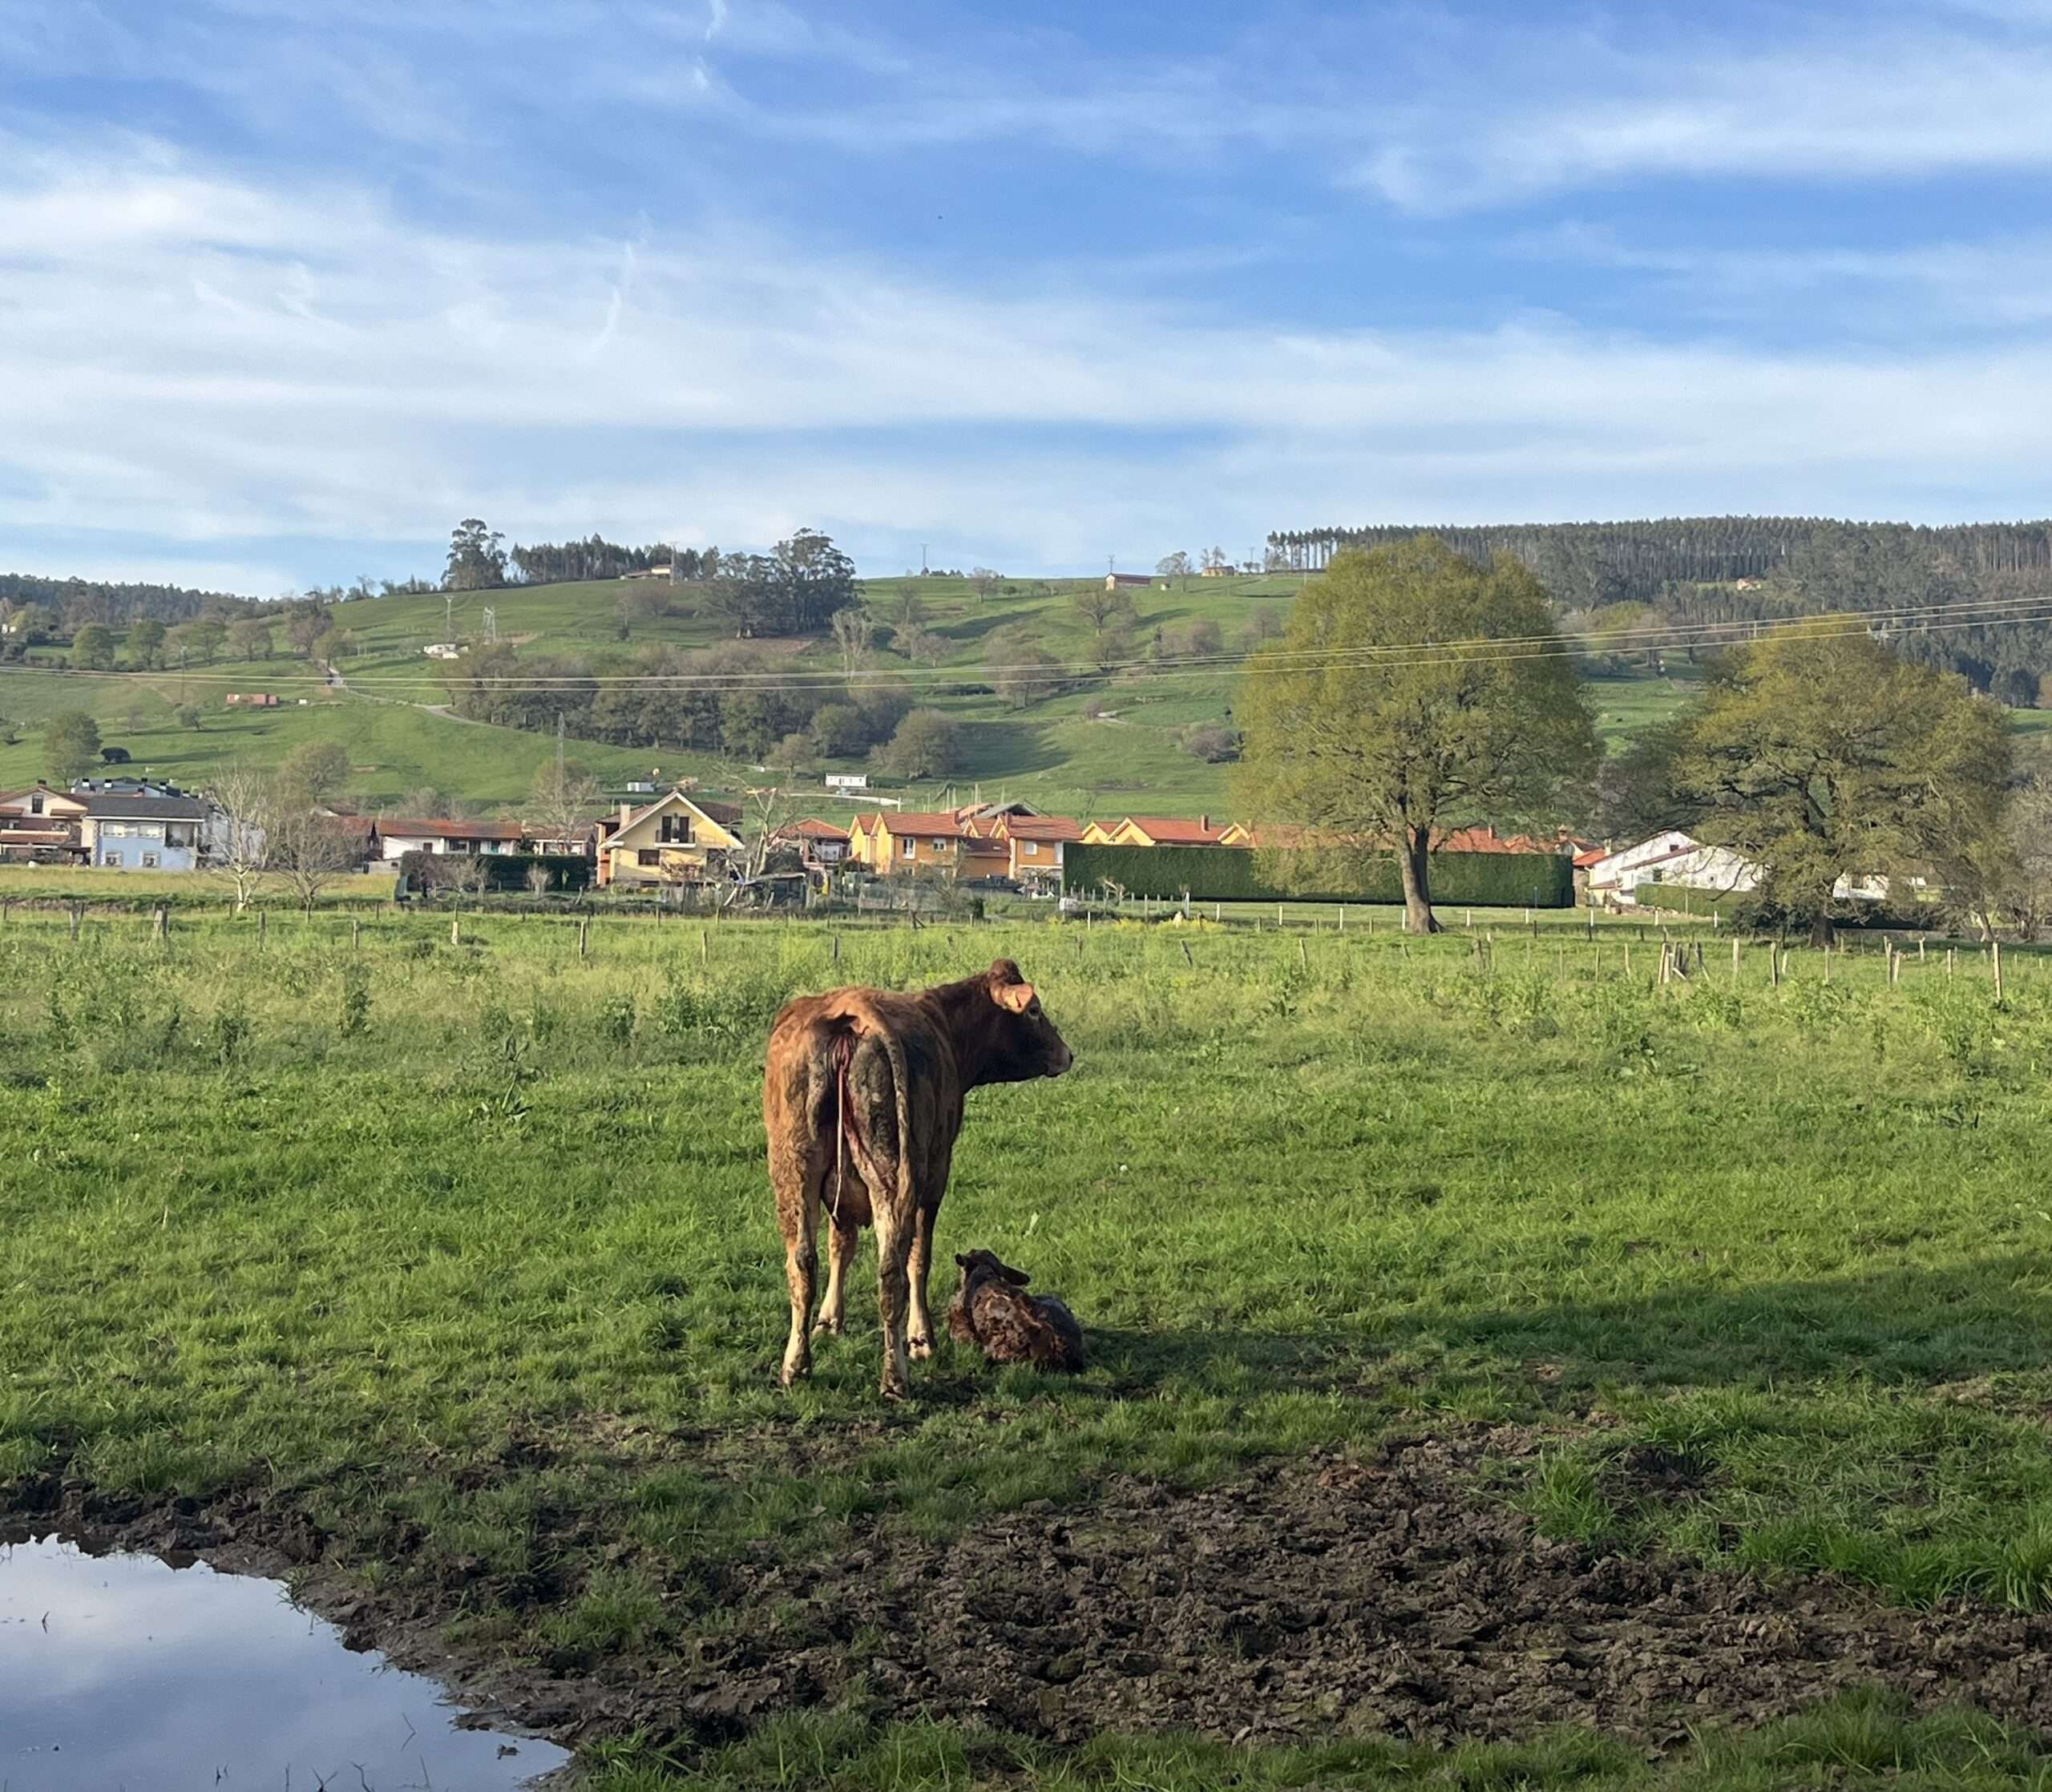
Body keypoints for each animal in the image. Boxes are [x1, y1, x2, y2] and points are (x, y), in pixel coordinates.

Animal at [763, 958, 1073, 1398]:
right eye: (1033, 1010)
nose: (1067, 1054)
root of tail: (851, 1014)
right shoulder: (936, 1176)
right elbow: (919, 1259)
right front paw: (921, 1336)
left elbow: (840, 1246)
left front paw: (829, 1320)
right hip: (895, 1175)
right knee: (892, 1268)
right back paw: (896, 1377)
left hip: (794, 1170)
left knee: (803, 1262)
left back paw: (796, 1365)